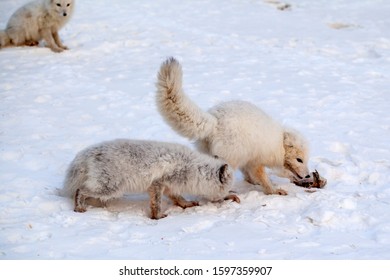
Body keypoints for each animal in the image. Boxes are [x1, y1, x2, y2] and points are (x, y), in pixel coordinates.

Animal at [62, 139, 236, 220]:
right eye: (228, 189)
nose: (230, 197)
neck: (192, 167)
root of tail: (88, 153)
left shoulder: (169, 186)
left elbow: (178, 198)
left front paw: (186, 204)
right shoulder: (157, 184)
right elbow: (156, 204)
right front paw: (157, 217)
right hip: (110, 187)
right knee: (80, 190)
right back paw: (79, 208)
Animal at [155, 58, 310, 196]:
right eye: (299, 160)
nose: (308, 176)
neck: (277, 143)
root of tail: (215, 120)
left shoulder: (249, 157)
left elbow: (249, 174)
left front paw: (253, 182)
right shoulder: (256, 160)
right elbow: (262, 176)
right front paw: (273, 190)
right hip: (229, 158)